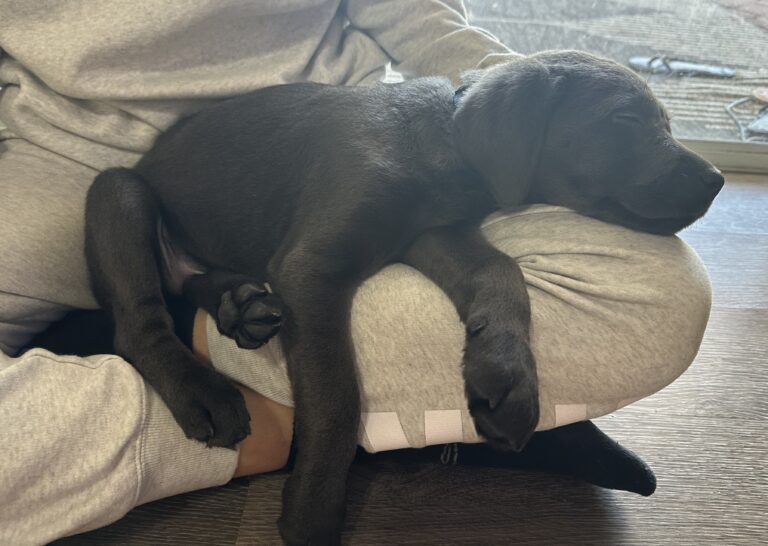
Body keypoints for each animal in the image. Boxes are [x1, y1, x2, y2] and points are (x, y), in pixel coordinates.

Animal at [84, 50, 720, 540]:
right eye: (626, 118)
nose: (716, 179)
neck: (448, 144)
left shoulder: (433, 235)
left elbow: (500, 272)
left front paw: (506, 375)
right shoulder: (312, 270)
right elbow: (337, 400)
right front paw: (312, 511)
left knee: (196, 283)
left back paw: (243, 307)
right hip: (118, 192)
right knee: (137, 323)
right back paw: (204, 393)